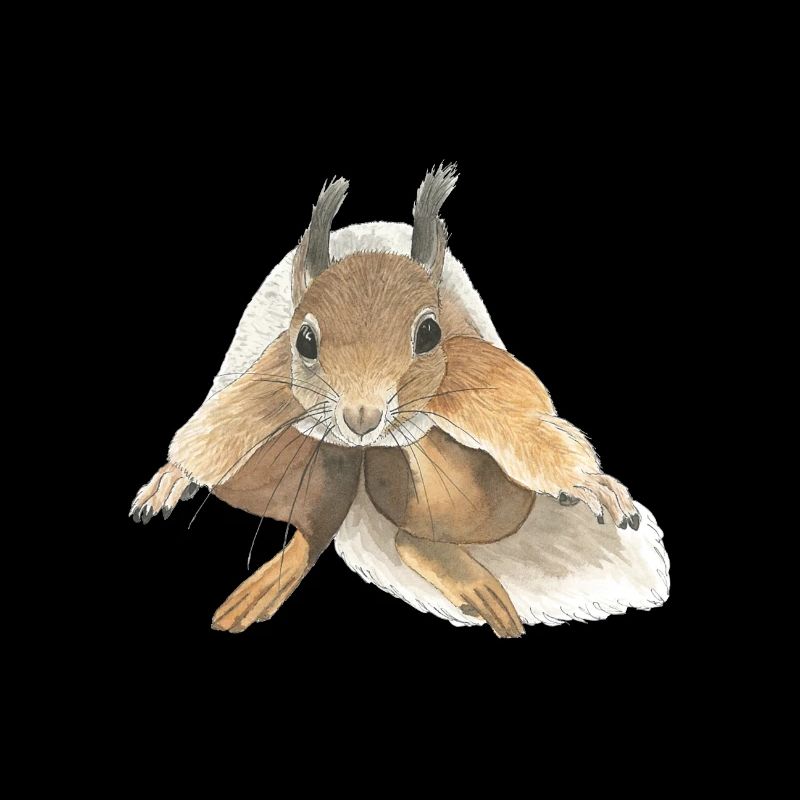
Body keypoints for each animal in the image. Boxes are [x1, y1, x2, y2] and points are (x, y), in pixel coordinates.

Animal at [131, 165, 669, 638]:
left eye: (429, 332)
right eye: (305, 340)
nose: (360, 417)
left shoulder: (475, 370)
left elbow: (523, 424)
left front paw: (587, 482)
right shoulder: (272, 379)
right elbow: (223, 422)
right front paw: (174, 477)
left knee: (410, 534)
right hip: (315, 469)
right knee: (317, 528)